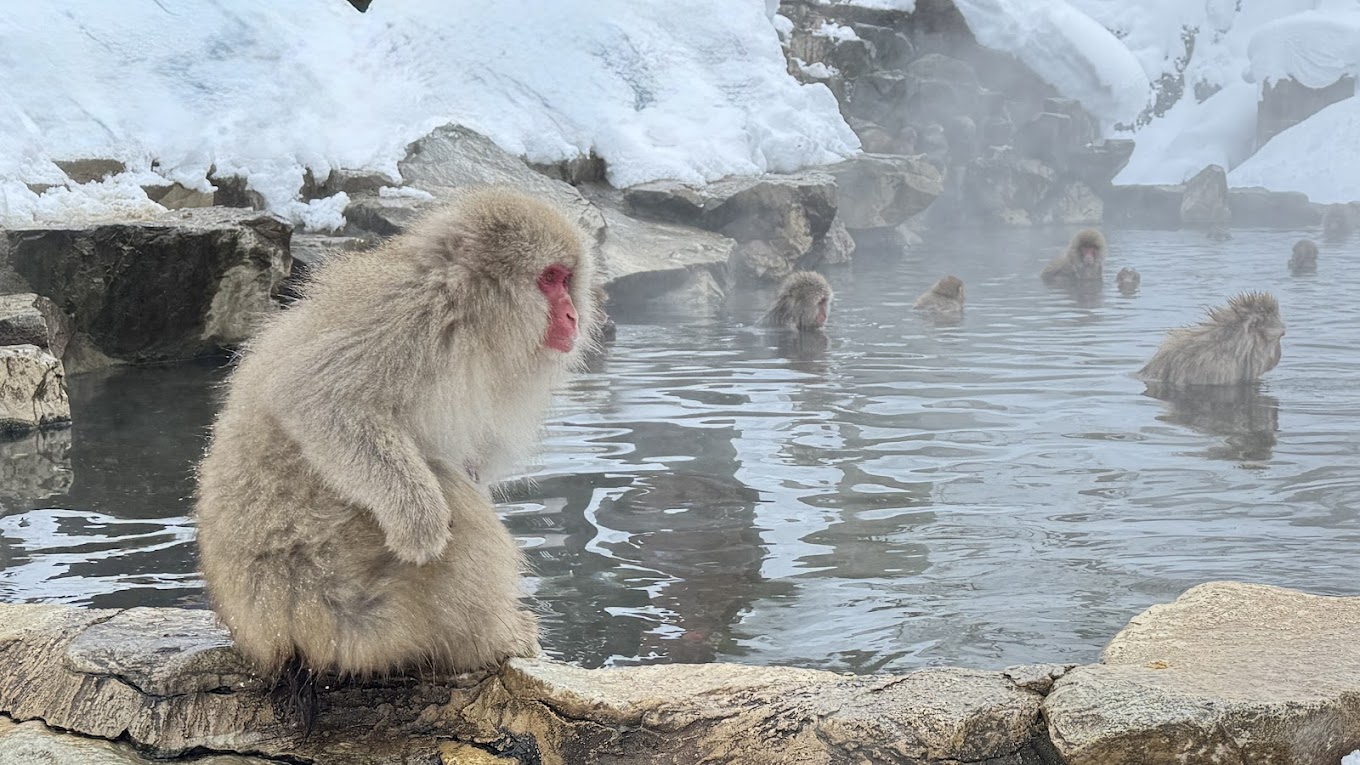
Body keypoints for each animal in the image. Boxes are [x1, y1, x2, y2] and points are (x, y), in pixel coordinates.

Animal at [195, 188, 597, 714]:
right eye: (549, 278)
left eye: (568, 280)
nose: (572, 315)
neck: (469, 313)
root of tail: (273, 639)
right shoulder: (409, 315)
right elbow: (316, 399)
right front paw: (421, 528)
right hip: (333, 596)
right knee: (446, 487)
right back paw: (492, 635)